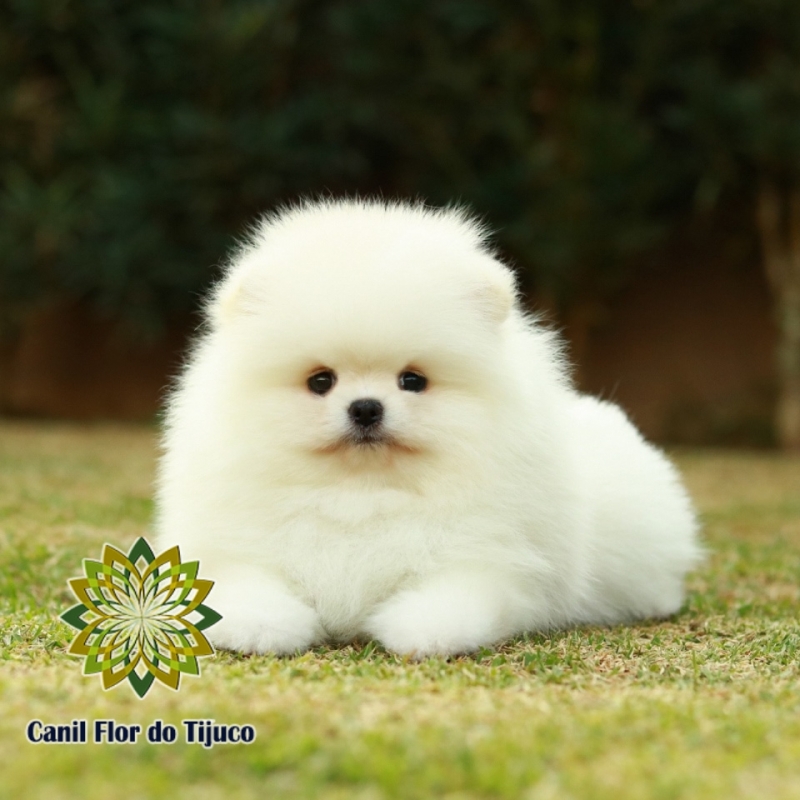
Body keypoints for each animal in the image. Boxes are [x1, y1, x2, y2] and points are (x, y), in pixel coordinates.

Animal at [155, 198, 700, 656]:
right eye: (320, 381)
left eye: (413, 380)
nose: (366, 408)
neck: (362, 494)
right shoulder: (237, 547)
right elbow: (240, 589)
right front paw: (260, 626)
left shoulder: (496, 563)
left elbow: (457, 599)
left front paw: (420, 630)